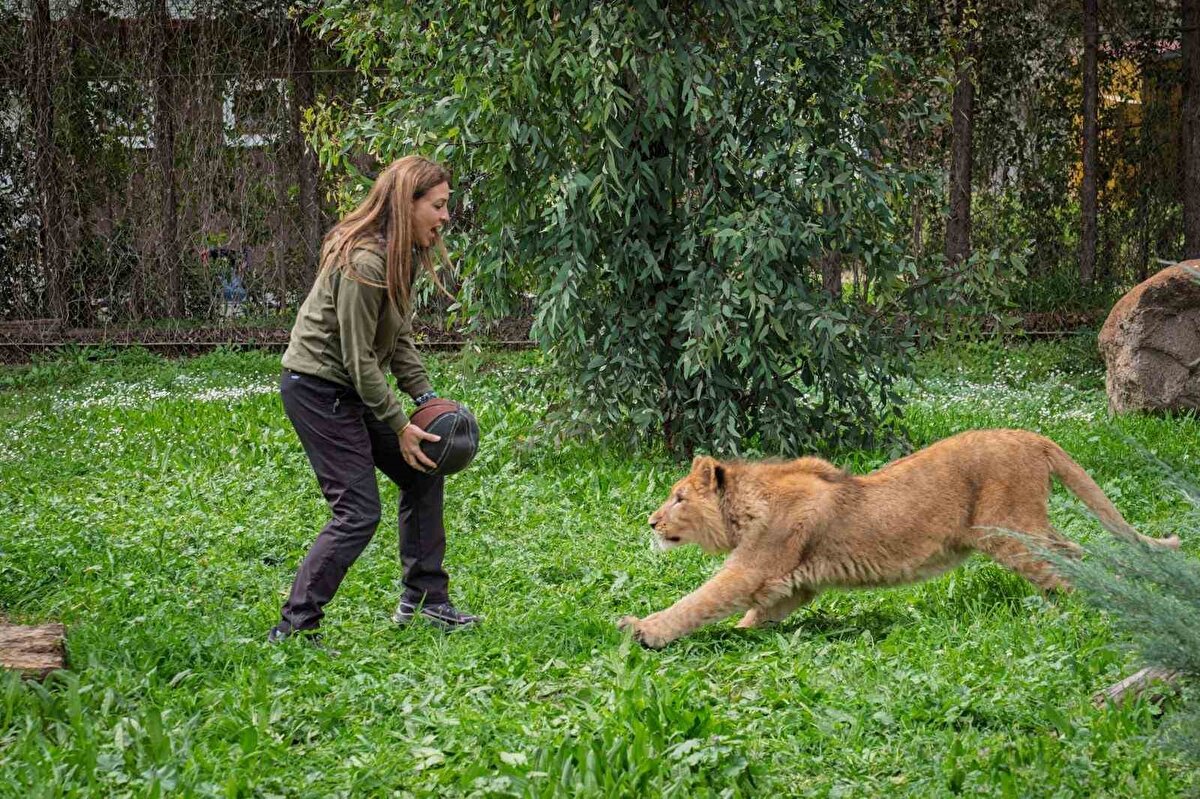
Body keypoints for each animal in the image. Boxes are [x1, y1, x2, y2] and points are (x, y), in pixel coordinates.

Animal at [618, 428, 1181, 649]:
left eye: (678, 497)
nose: (650, 522)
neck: (746, 505)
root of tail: (1028, 435)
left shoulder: (753, 568)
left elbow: (699, 601)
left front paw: (643, 630)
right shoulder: (793, 584)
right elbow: (755, 616)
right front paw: (740, 634)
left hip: (1008, 531)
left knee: (1063, 569)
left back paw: (1077, 612)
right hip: (1026, 527)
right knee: (1075, 551)